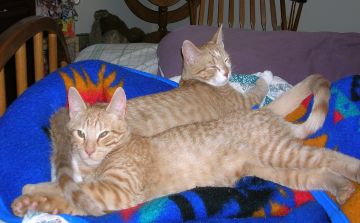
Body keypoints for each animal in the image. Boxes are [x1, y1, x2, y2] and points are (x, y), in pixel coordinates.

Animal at [11, 86, 358, 216]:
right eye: (80, 133)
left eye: (105, 135)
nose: (89, 148)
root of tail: (265, 112)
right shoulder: (96, 194)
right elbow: (66, 197)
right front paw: (31, 202)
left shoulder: (116, 190)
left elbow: (64, 189)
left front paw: (33, 191)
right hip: (277, 169)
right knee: (316, 174)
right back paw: (341, 189)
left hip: (281, 153)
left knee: (330, 157)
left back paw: (351, 176)